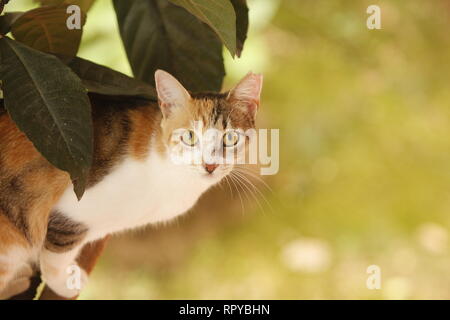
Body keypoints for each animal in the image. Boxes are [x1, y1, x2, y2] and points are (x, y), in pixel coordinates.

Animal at [0, 70, 264, 298]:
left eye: (230, 138)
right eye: (189, 137)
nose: (210, 165)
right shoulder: (71, 211)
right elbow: (57, 254)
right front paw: (66, 281)